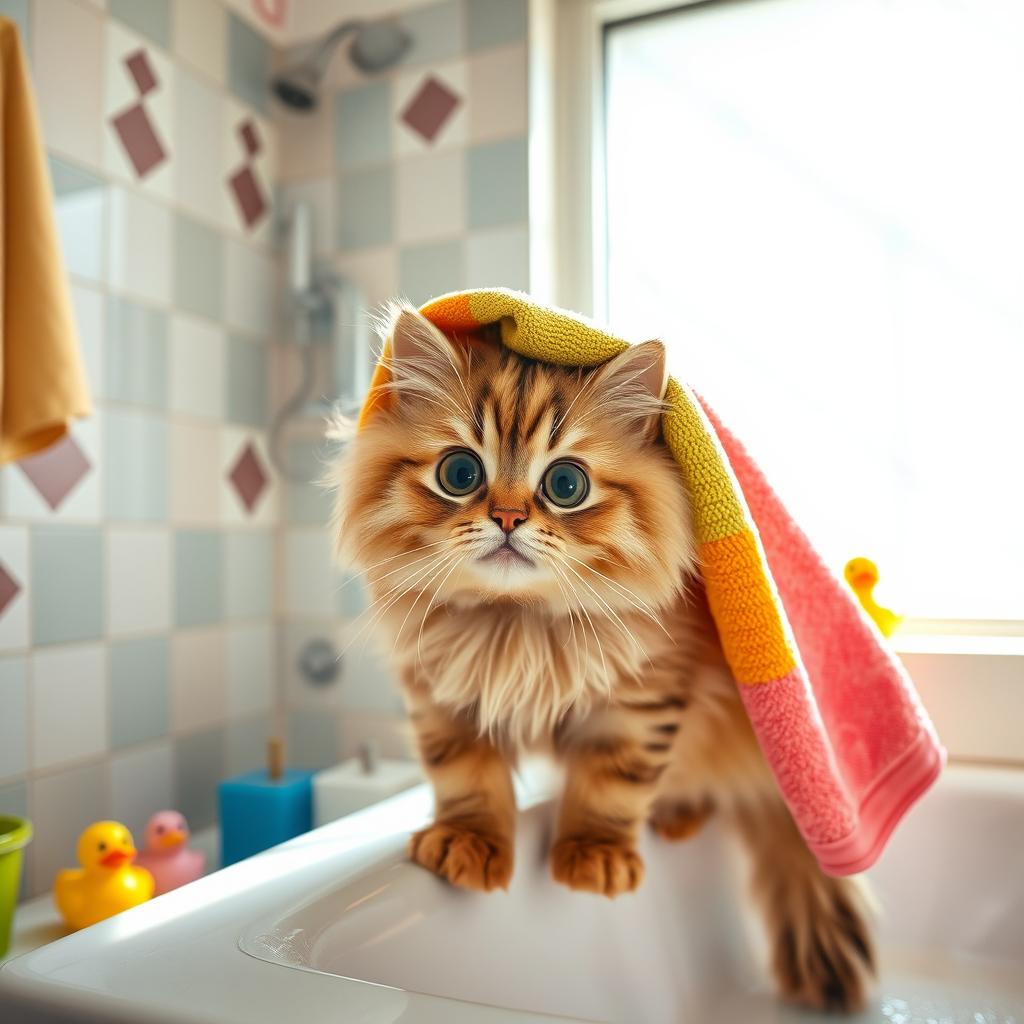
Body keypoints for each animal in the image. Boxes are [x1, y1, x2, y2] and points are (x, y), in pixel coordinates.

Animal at [331, 301, 876, 1007]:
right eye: (460, 474)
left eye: (566, 484)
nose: (507, 518)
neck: (516, 624)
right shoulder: (440, 694)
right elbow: (464, 776)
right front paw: (466, 842)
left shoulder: (646, 698)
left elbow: (612, 784)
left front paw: (595, 855)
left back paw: (675, 815)